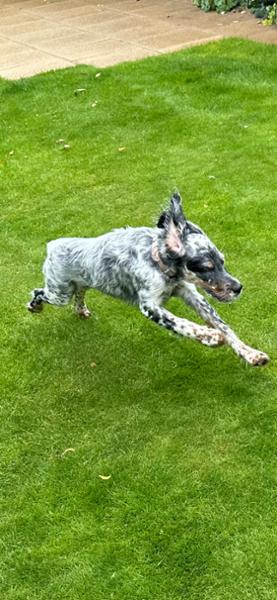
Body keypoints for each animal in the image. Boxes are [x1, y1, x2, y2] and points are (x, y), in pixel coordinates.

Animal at [27, 195, 268, 368]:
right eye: (206, 267)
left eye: (222, 262)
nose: (238, 288)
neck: (158, 263)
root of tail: (53, 245)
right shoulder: (149, 306)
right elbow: (181, 323)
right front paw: (209, 336)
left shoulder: (190, 293)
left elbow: (224, 326)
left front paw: (251, 354)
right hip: (59, 293)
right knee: (38, 291)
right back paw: (34, 306)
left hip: (80, 284)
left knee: (80, 293)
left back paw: (81, 311)